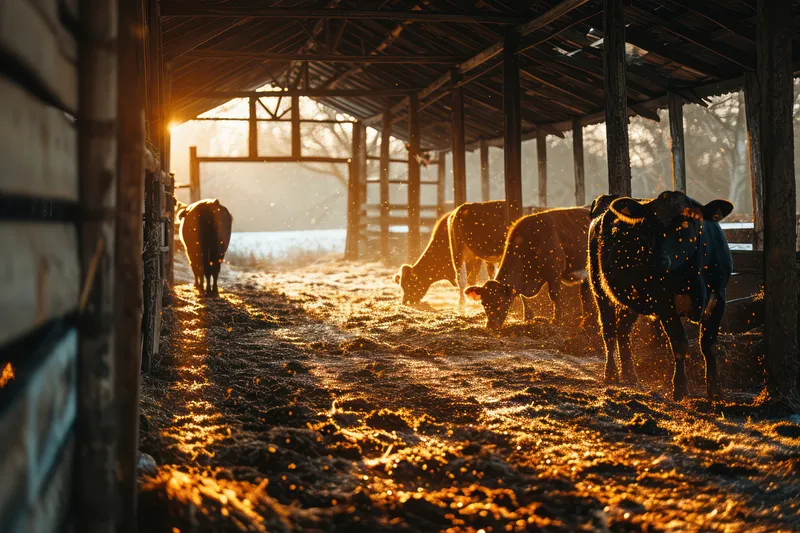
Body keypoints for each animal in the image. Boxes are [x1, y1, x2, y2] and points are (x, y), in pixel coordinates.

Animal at [465, 207, 594, 332]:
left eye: (501, 302)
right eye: (483, 303)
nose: (491, 326)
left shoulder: (554, 274)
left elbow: (555, 296)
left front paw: (556, 321)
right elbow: (523, 298)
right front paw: (527, 317)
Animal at [587, 190, 733, 401]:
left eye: (686, 223)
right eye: (650, 225)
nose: (657, 260)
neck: (692, 279)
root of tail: (607, 198)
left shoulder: (719, 298)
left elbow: (708, 345)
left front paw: (715, 391)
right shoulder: (664, 303)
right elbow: (679, 343)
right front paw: (680, 389)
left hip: (631, 300)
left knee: (623, 330)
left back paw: (630, 375)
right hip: (599, 287)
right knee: (608, 331)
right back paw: (611, 374)